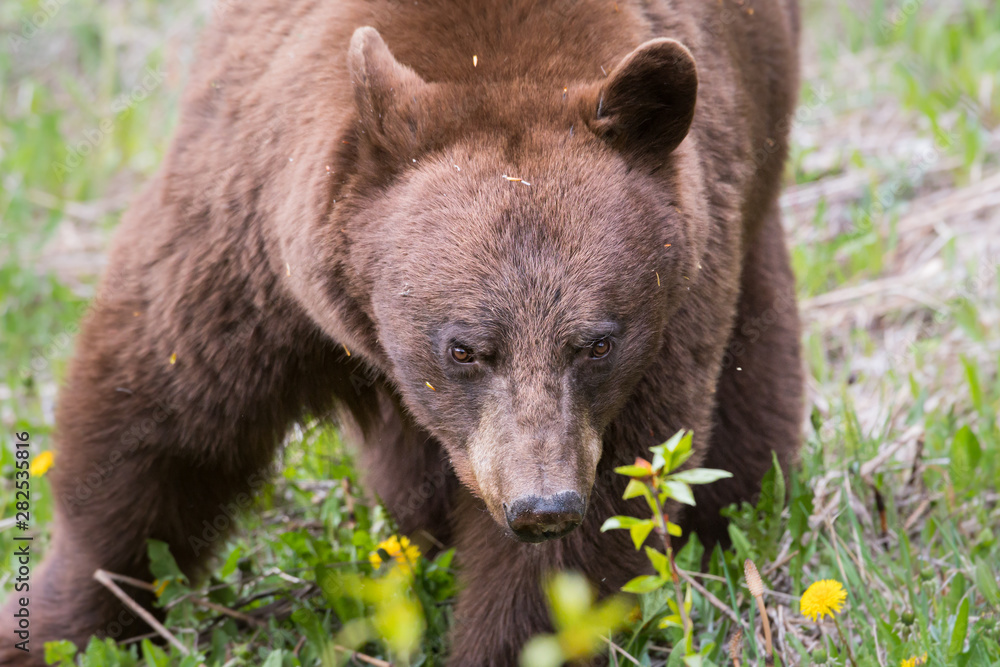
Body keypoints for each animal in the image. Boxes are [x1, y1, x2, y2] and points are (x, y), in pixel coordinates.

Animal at [0, 1, 800, 664]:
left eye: (598, 342)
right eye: (464, 347)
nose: (542, 505)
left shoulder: (664, 326)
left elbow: (603, 521)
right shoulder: (252, 246)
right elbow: (161, 425)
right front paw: (59, 625)